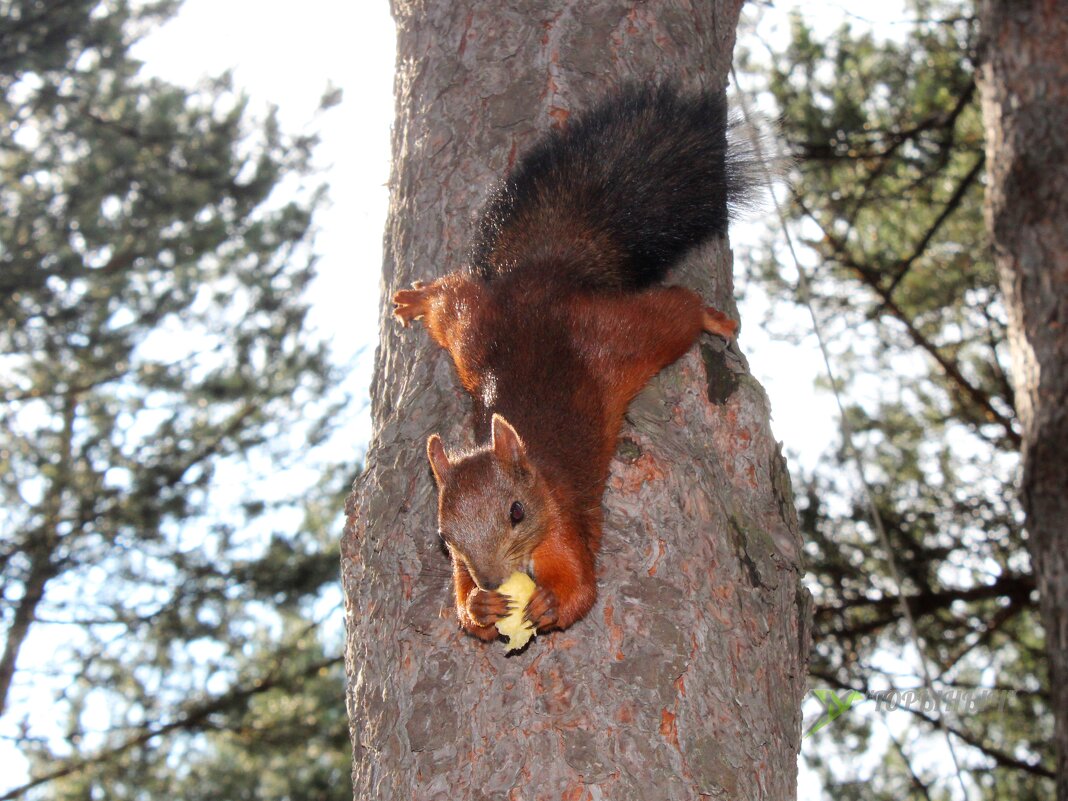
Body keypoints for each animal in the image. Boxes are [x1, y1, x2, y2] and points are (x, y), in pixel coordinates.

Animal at [393, 83, 751, 645]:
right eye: (444, 536)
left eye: (517, 512)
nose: (491, 579)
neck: (536, 474)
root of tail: (546, 277)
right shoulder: (460, 565)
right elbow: (463, 608)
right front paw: (478, 606)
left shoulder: (562, 523)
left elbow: (582, 588)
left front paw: (550, 605)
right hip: (472, 331)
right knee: (450, 299)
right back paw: (417, 298)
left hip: (623, 340)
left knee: (675, 311)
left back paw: (713, 318)